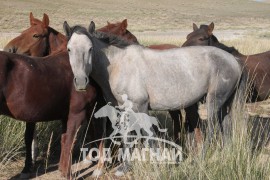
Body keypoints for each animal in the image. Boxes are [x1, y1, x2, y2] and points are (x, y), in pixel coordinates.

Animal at [64, 20, 248, 176]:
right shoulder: (123, 109)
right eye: (69, 49)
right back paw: (226, 154)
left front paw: (156, 166)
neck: (119, 64)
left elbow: (148, 136)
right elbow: (127, 137)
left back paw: (200, 159)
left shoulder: (141, 107)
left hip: (213, 102)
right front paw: (125, 167)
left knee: (212, 129)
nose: (81, 82)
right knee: (226, 128)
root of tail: (234, 60)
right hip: (224, 104)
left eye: (90, 48)